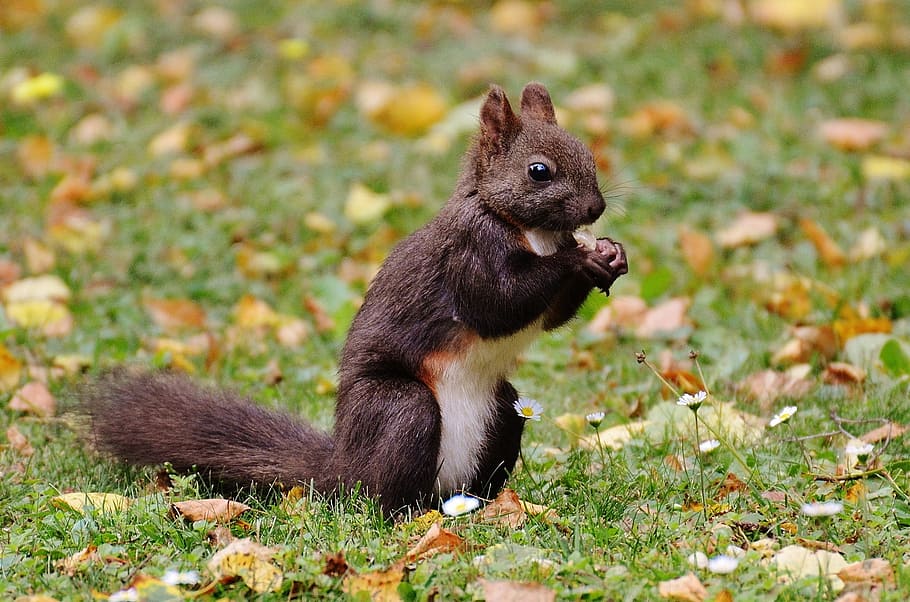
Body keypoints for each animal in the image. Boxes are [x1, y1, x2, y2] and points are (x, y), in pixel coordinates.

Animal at [81, 82, 628, 516]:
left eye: (586, 151)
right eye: (539, 171)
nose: (595, 208)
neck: (528, 230)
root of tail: (343, 469)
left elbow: (548, 317)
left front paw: (609, 255)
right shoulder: (469, 253)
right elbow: (497, 307)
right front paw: (579, 256)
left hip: (504, 411)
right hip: (399, 410)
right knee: (384, 494)